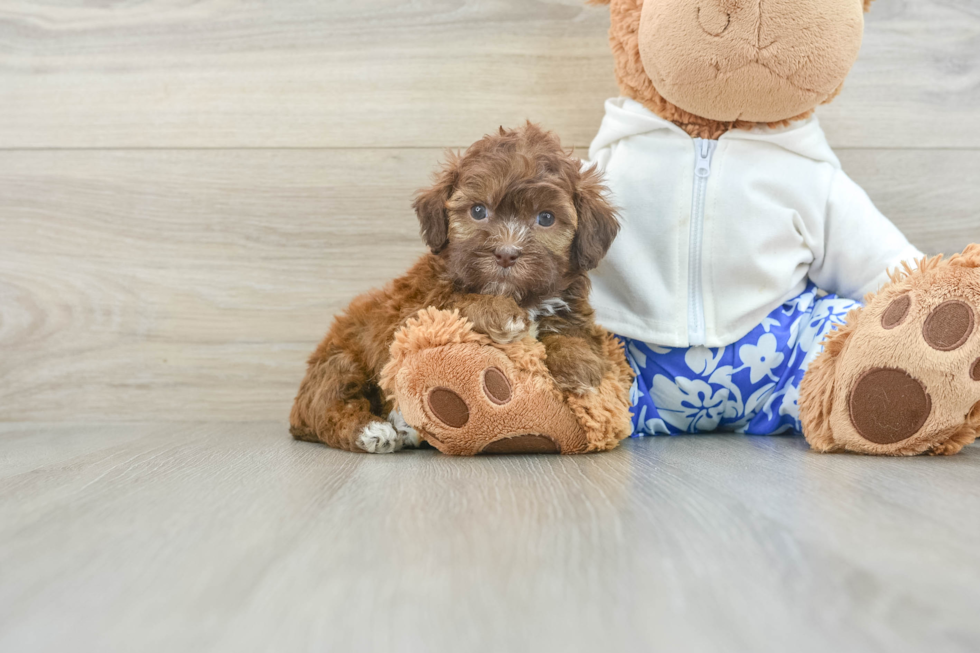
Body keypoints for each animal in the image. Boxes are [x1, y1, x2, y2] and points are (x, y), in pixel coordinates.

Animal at [288, 126, 616, 454]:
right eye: (478, 211)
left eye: (546, 217)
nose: (506, 253)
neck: (518, 296)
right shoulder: (409, 313)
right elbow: (455, 299)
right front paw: (499, 312)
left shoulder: (569, 306)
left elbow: (573, 333)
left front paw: (577, 366)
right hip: (340, 362)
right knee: (328, 406)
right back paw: (372, 430)